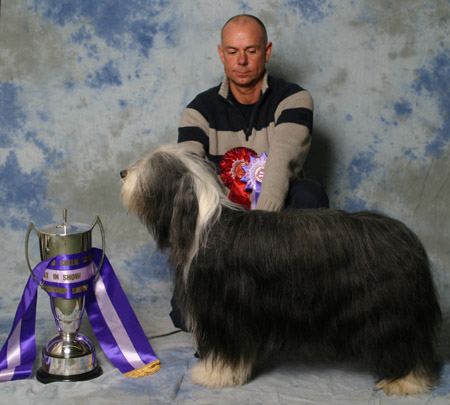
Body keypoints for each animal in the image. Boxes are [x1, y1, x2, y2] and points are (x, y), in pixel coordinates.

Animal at [120, 144, 441, 395]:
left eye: (149, 167)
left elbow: (225, 349)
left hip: (388, 312)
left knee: (405, 344)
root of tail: (408, 239)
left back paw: (406, 381)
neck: (201, 223)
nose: (123, 173)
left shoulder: (222, 309)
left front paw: (213, 375)